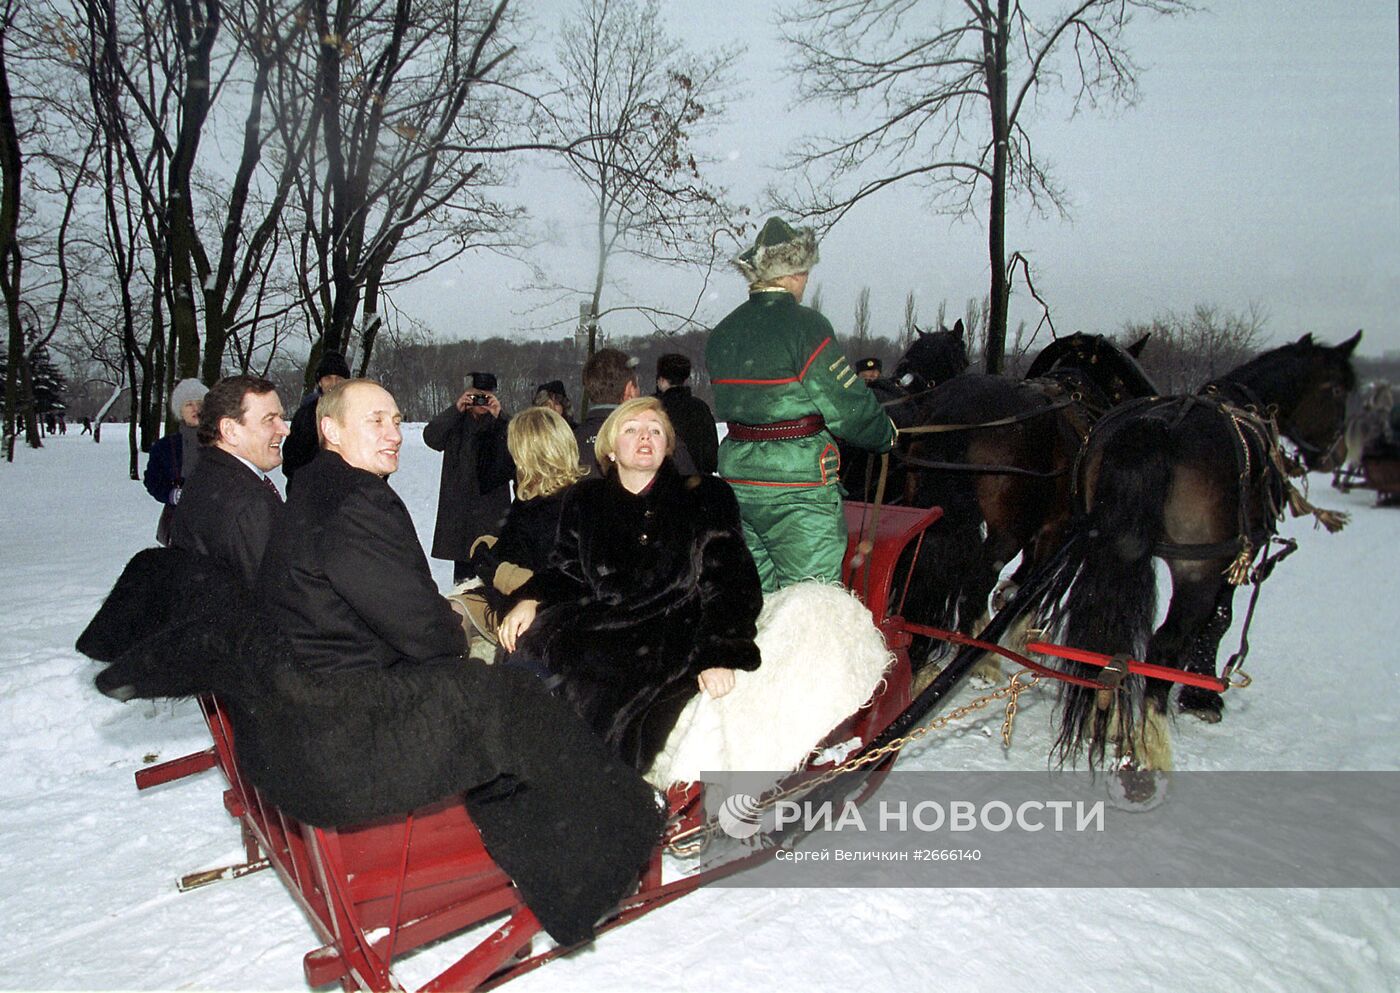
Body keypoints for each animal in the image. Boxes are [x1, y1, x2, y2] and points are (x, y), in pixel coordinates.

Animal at [1019, 329, 1355, 773]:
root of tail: (1154, 427)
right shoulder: (1232, 559)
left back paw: (1106, 715)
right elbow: (1219, 621)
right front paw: (1203, 696)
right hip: (1198, 567)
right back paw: (1153, 741)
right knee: (1164, 645)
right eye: (1338, 390)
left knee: (1104, 638)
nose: (1338, 455)